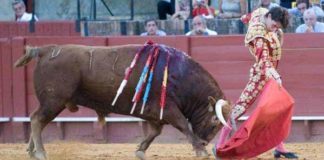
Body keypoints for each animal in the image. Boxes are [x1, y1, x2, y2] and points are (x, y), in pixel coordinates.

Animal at [13, 42, 232, 160]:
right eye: (215, 121)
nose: (204, 141)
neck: (180, 74)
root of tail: (46, 49)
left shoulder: (154, 112)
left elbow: (155, 132)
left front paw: (140, 150)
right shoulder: (169, 108)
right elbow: (184, 126)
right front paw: (201, 150)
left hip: (52, 102)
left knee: (37, 119)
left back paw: (32, 151)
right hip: (54, 100)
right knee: (37, 119)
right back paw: (41, 152)